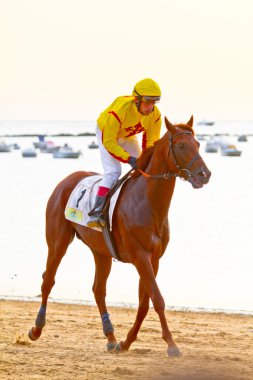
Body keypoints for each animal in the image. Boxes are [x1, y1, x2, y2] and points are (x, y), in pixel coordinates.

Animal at [28, 116, 211, 356]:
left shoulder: (153, 260)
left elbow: (144, 303)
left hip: (101, 251)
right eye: (181, 146)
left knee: (98, 290)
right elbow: (158, 299)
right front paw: (171, 344)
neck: (147, 204)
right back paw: (36, 329)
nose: (204, 174)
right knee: (48, 280)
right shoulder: (140, 257)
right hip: (58, 242)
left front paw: (126, 342)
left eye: (198, 144)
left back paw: (111, 336)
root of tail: (67, 179)